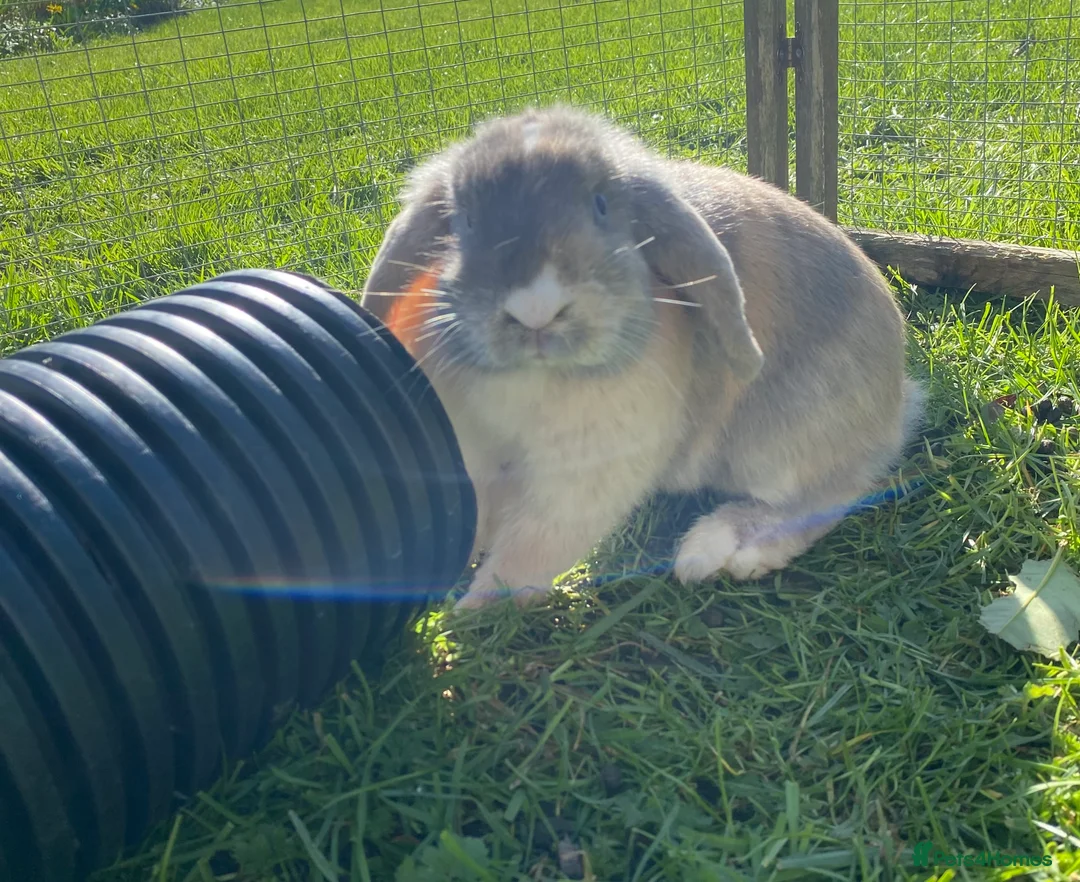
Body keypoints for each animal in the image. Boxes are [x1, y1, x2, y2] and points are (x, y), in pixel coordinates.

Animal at [360, 104, 924, 610]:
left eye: (601, 204)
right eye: (466, 220)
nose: (535, 308)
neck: (534, 379)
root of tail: (897, 401)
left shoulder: (583, 477)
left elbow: (530, 551)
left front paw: (472, 612)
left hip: (781, 446)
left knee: (833, 494)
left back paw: (718, 551)